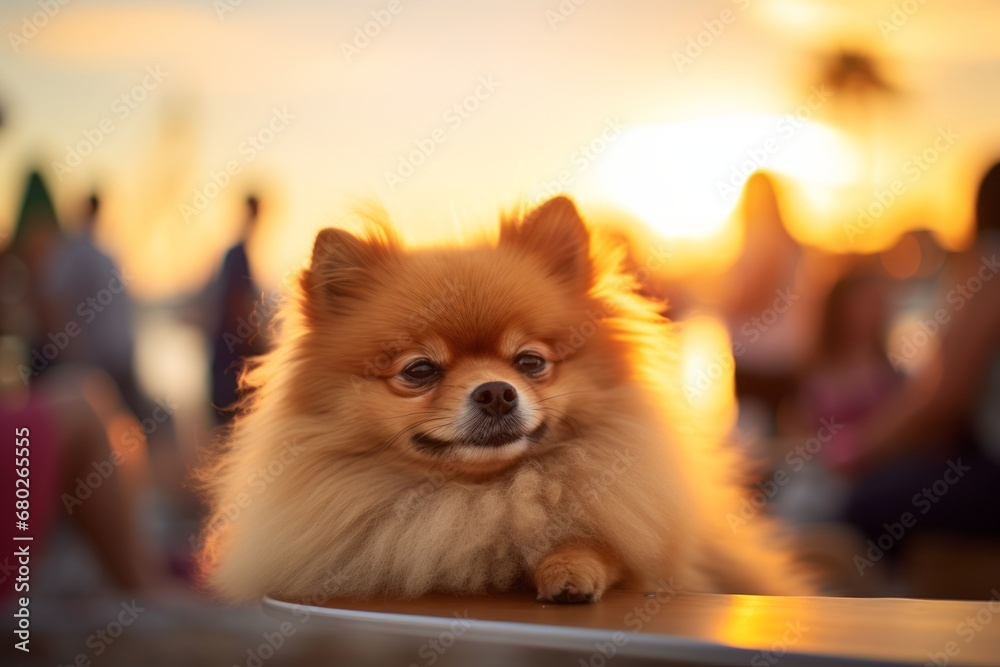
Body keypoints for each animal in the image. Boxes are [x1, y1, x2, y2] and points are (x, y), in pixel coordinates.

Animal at [197, 196, 812, 604]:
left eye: (530, 362)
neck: (484, 494)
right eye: (419, 370)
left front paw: (570, 566)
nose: (495, 392)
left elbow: (610, 546)